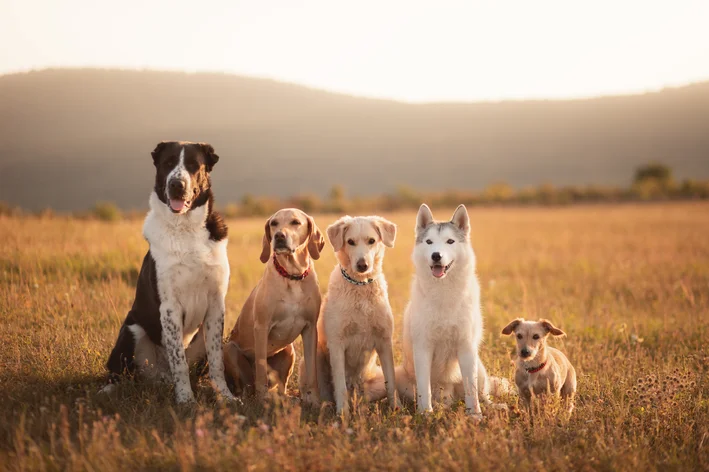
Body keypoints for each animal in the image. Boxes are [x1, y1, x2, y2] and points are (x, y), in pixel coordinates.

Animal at [103, 140, 234, 402]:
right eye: (168, 163)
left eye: (193, 165)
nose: (176, 184)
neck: (184, 228)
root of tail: (158, 378)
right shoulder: (170, 308)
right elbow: (178, 362)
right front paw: (186, 400)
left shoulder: (216, 306)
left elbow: (217, 361)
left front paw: (226, 397)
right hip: (131, 328)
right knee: (117, 371)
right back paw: (108, 390)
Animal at [224, 208, 324, 404]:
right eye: (273, 223)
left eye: (295, 222)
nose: (279, 236)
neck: (292, 276)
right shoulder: (262, 327)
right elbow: (262, 368)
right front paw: (262, 399)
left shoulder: (310, 329)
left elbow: (312, 372)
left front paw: (315, 401)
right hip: (230, 349)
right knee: (245, 386)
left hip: (289, 351)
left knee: (281, 388)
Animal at [306, 216, 402, 418]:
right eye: (350, 242)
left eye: (371, 241)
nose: (362, 265)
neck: (361, 286)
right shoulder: (337, 343)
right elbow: (339, 386)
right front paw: (343, 414)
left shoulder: (384, 341)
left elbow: (391, 382)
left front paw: (397, 409)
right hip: (312, 362)